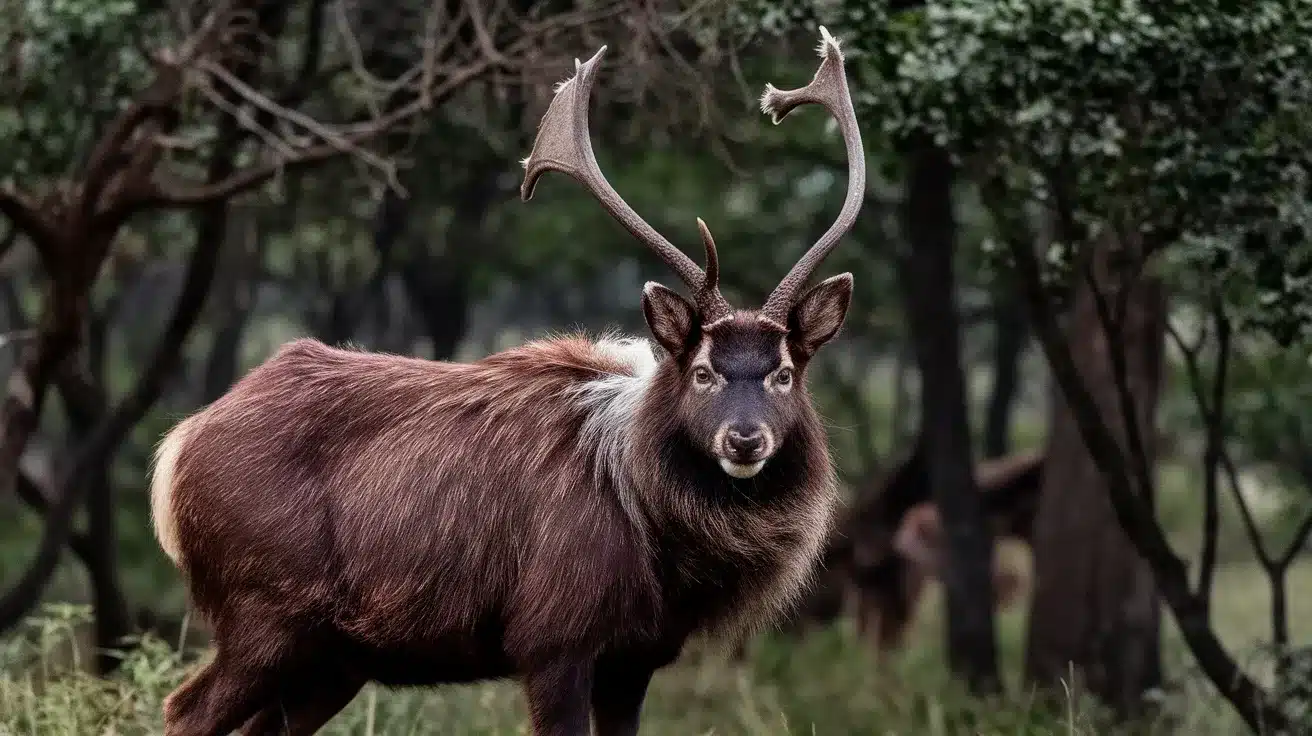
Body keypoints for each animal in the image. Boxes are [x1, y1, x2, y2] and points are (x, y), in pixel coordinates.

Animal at [148, 28, 865, 734]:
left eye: (784, 373)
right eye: (703, 371)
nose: (745, 440)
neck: (656, 542)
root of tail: (177, 448)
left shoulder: (637, 657)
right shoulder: (552, 634)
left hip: (334, 655)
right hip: (264, 609)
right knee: (183, 709)